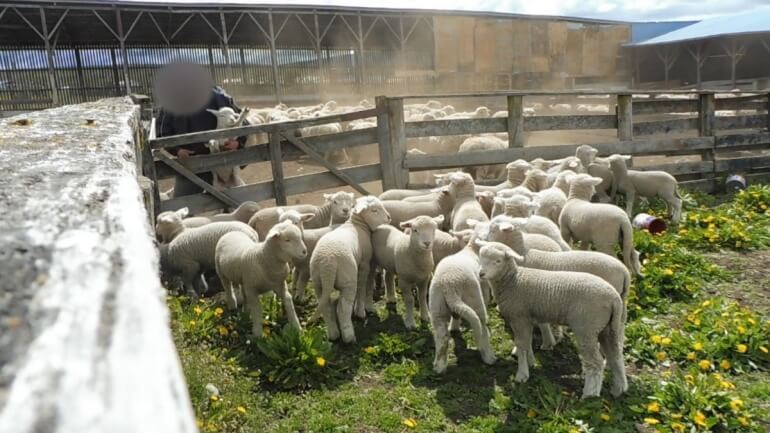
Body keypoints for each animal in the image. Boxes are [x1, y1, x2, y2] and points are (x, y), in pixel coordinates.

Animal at [308, 196, 390, 340]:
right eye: (374, 210)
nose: (389, 217)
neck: (357, 225)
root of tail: (327, 263)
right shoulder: (364, 264)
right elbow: (362, 287)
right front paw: (360, 311)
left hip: (318, 283)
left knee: (327, 308)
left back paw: (333, 335)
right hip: (347, 280)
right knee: (342, 308)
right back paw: (349, 336)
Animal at [428, 233, 496, 372]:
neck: (471, 250)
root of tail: (449, 285)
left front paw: (454, 327)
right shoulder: (484, 286)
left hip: (437, 305)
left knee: (442, 336)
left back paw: (439, 366)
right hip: (474, 297)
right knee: (481, 326)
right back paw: (489, 357)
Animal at [476, 241, 628, 396]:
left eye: (498, 261)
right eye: (480, 256)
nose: (481, 273)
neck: (513, 281)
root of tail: (614, 298)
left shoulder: (518, 317)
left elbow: (521, 344)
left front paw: (522, 374)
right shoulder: (527, 318)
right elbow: (527, 341)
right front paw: (531, 362)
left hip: (587, 328)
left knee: (596, 361)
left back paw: (590, 394)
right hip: (607, 327)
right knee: (615, 355)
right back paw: (618, 388)